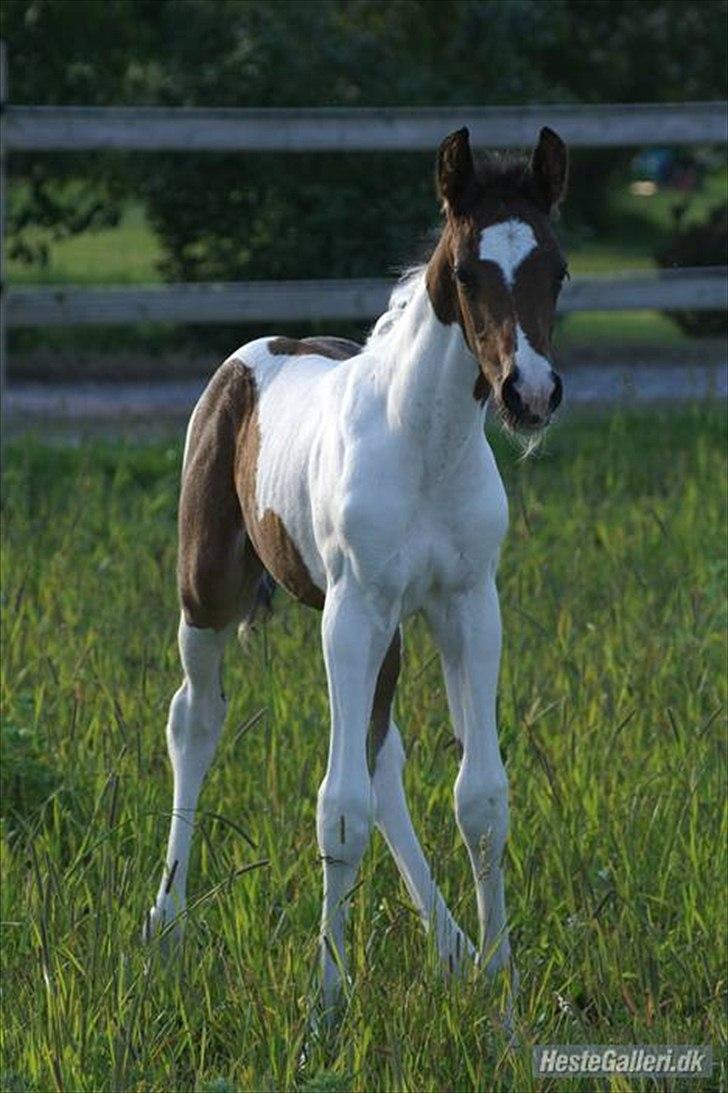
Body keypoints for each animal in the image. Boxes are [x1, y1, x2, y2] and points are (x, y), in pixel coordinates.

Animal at [146, 125, 568, 1005]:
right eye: (467, 271)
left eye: (558, 270)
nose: (531, 395)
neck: (427, 445)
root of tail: (261, 347)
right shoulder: (351, 612)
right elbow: (337, 810)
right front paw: (325, 1007)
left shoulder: (468, 606)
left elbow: (481, 799)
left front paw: (501, 989)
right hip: (209, 592)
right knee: (193, 718)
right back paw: (165, 923)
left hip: (394, 633)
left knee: (384, 758)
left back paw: (452, 946)